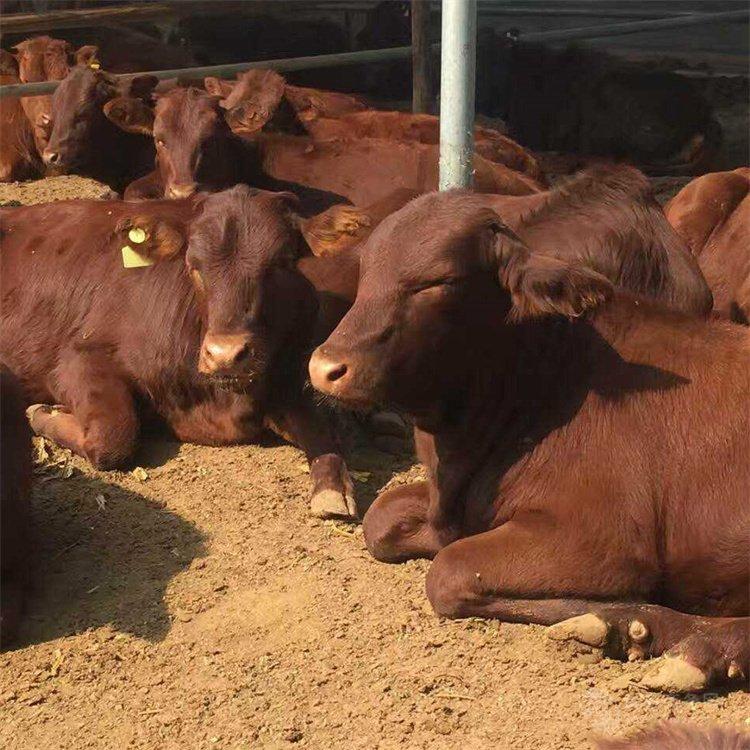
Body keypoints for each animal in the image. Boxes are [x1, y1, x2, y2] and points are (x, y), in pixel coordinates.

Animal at [0, 185, 362, 520]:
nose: (225, 355)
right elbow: (113, 438)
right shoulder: (75, 358)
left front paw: (332, 488)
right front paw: (44, 413)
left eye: (282, 263)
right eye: (193, 265)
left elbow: (321, 428)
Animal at [306, 191, 750, 696]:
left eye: (440, 281)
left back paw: (697, 650)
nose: (325, 367)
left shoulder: (604, 540)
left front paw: (616, 614)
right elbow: (380, 519)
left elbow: (449, 571)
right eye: (365, 272)